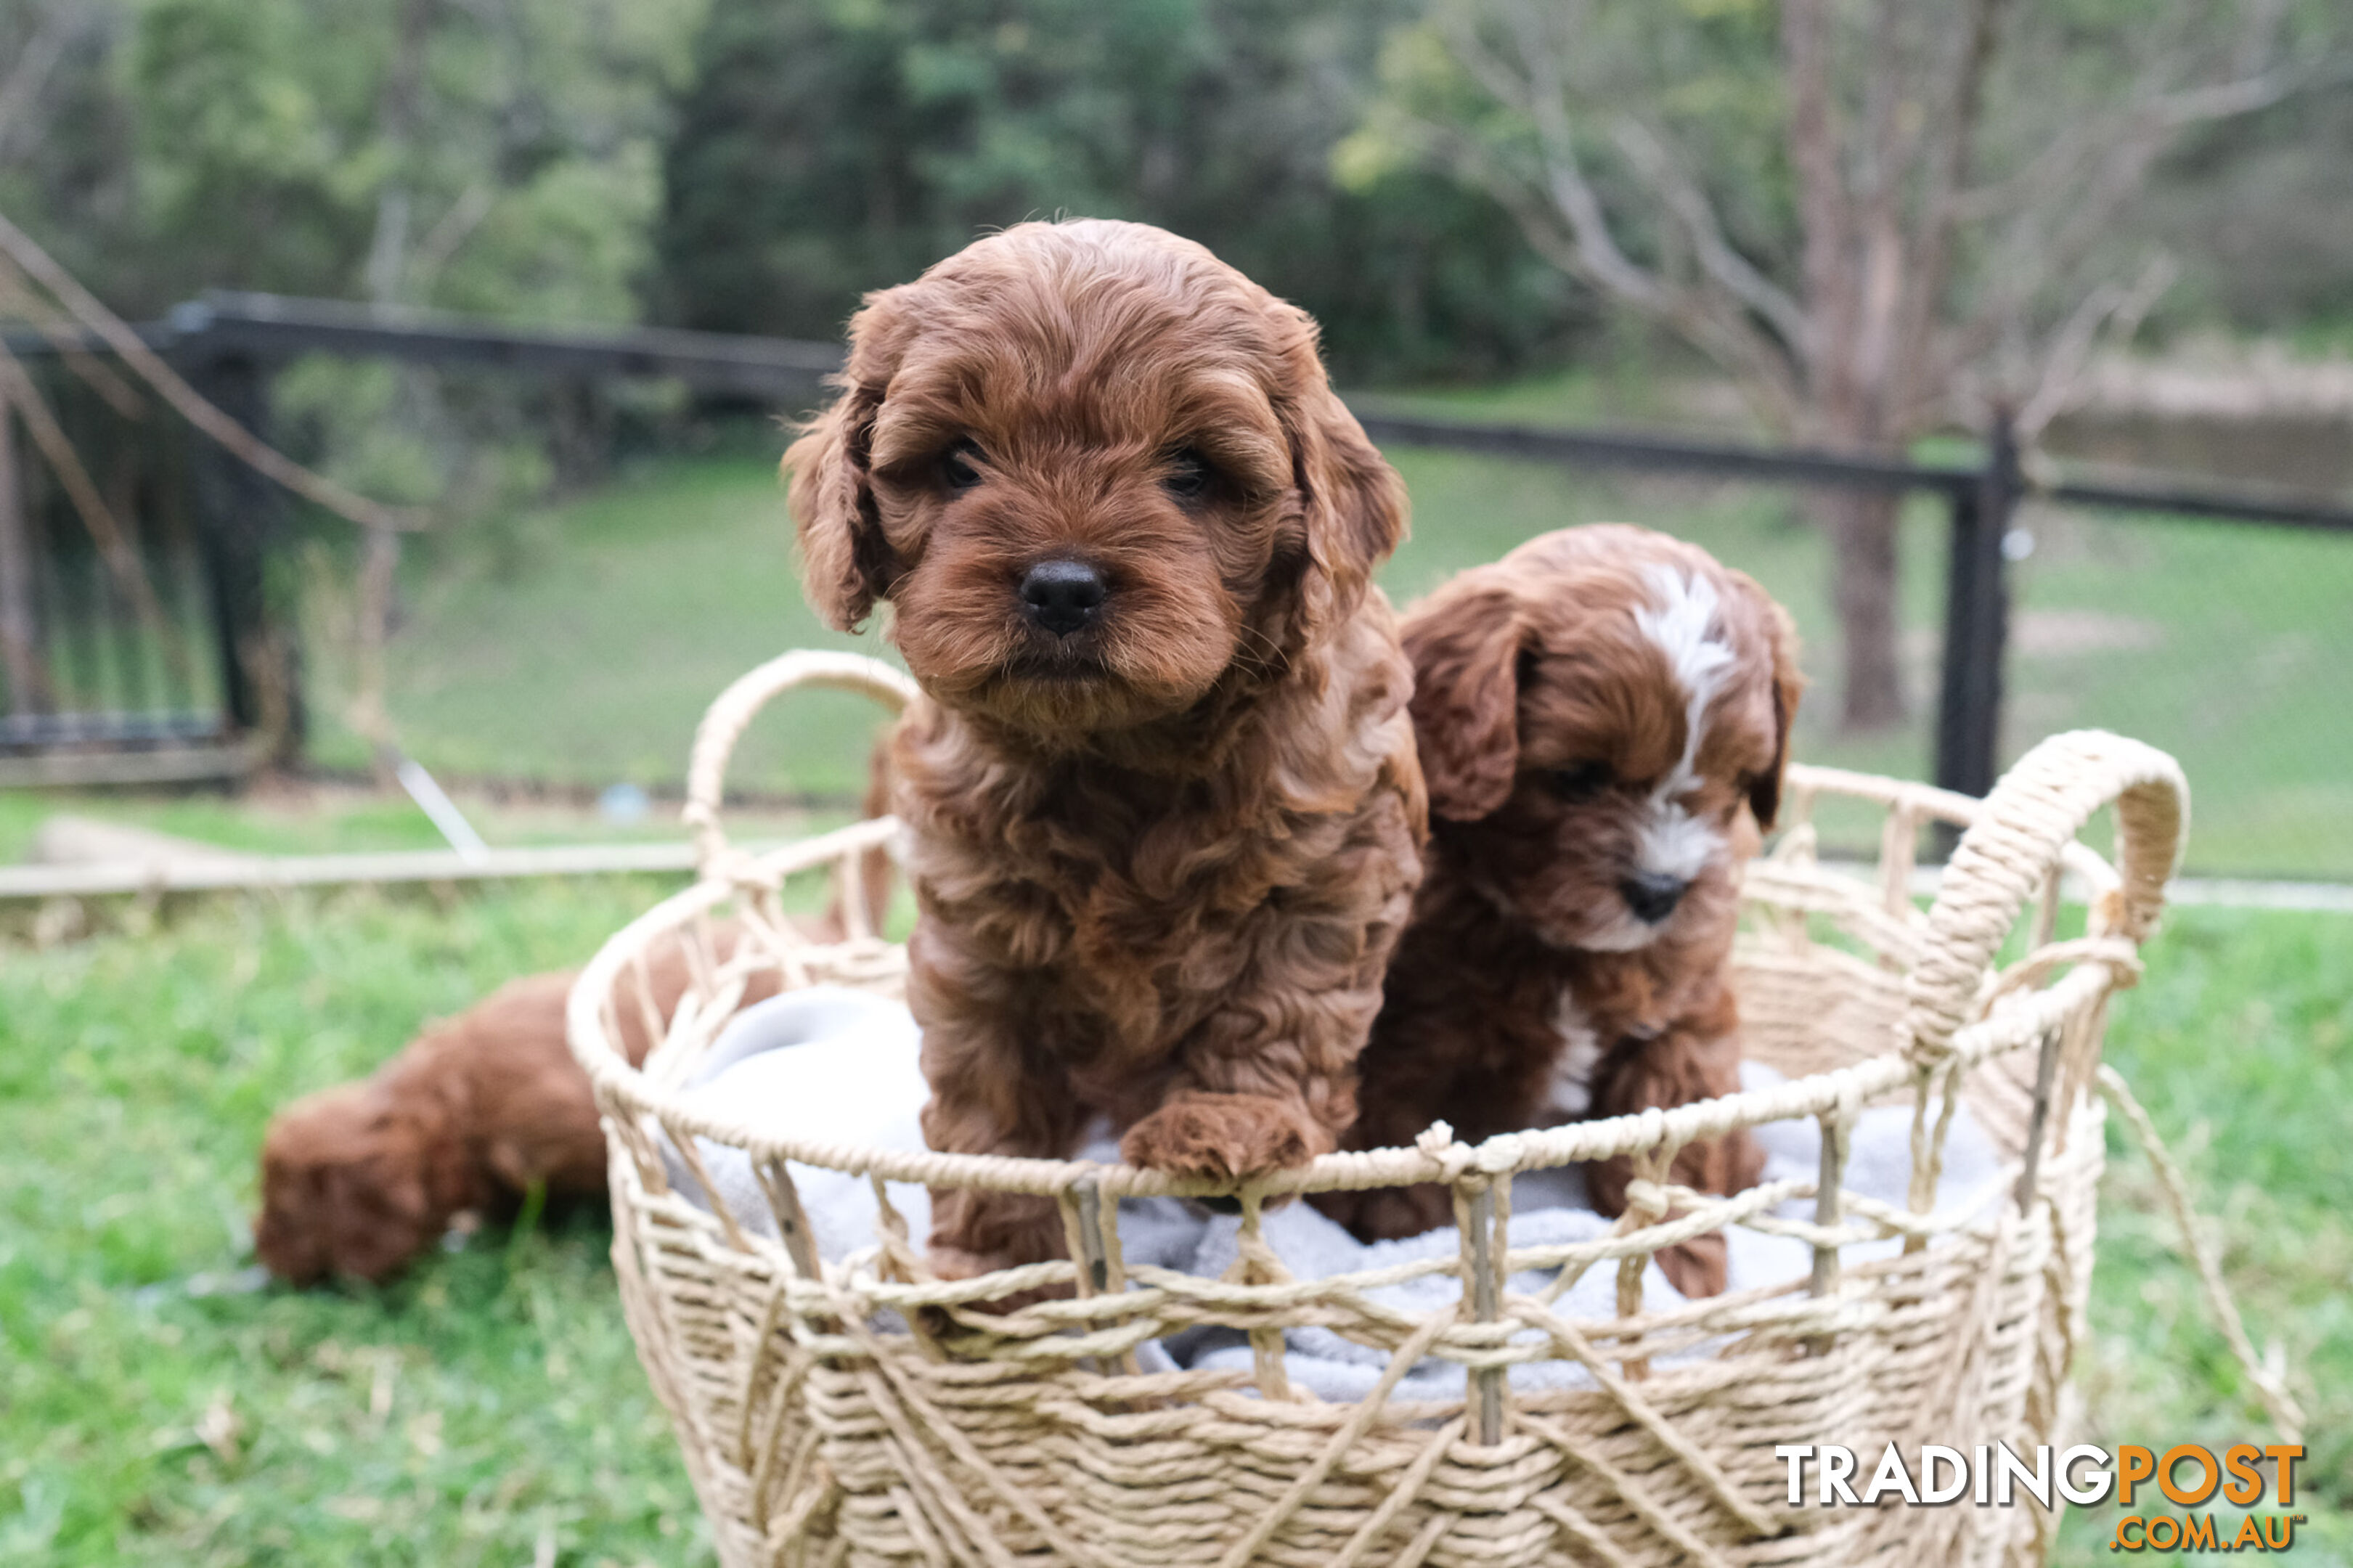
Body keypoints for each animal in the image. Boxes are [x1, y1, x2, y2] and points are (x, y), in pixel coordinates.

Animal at [790, 220, 1421, 1281]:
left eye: (1192, 470)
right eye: (960, 461)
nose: (1062, 587)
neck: (1115, 750)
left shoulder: (1334, 859)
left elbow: (1280, 1001)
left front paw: (1228, 1123)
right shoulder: (976, 924)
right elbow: (986, 1093)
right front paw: (994, 1261)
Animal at [1326, 518, 1798, 1290]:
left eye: (1732, 779)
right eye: (1577, 778)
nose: (1661, 891)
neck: (1566, 948)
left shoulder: (1683, 1017)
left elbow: (1669, 1141)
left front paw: (1676, 1262)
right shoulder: (1411, 1038)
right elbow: (1400, 1139)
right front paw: (1404, 1236)